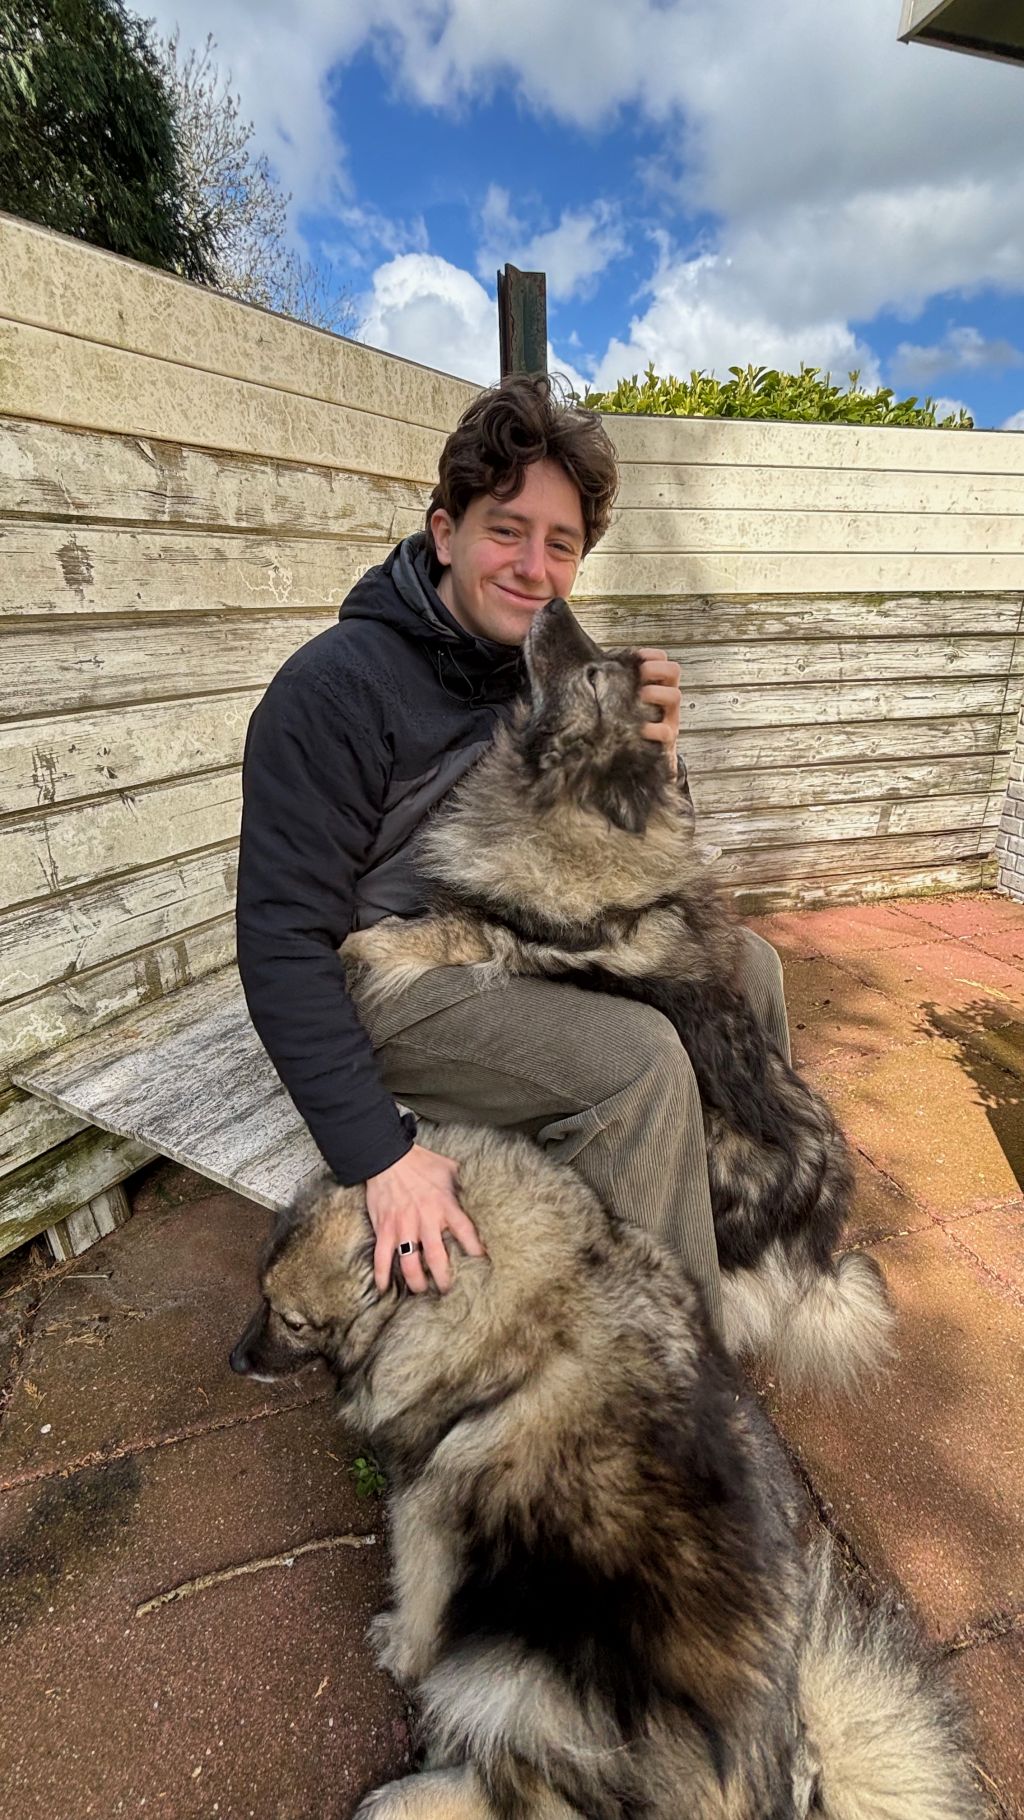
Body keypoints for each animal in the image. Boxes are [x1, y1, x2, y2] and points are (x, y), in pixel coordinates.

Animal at [231, 1121, 983, 1820]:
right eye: (261, 1299)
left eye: (292, 1321)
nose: (237, 1362)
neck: (539, 1289)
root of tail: (781, 1784)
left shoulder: (429, 1511)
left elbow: (418, 1594)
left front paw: (398, 1646)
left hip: (521, 1678)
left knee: (521, 1788)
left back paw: (405, 1798)